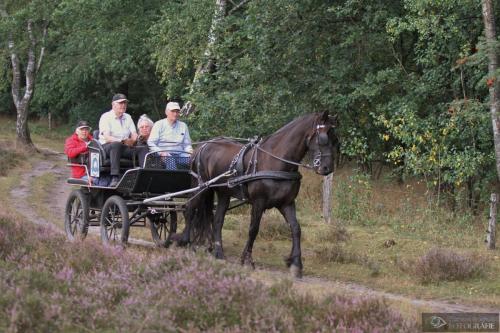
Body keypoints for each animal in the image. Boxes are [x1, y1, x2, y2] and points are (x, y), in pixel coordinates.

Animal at [178, 110, 338, 276]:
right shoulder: (258, 202)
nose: (328, 168)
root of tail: (202, 146)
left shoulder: (286, 203)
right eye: (323, 138)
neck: (275, 162)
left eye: (335, 140)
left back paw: (218, 251)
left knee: (216, 220)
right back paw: (185, 242)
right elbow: (253, 229)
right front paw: (247, 260)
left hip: (223, 193)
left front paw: (296, 264)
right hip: (201, 187)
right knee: (190, 209)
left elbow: (296, 229)